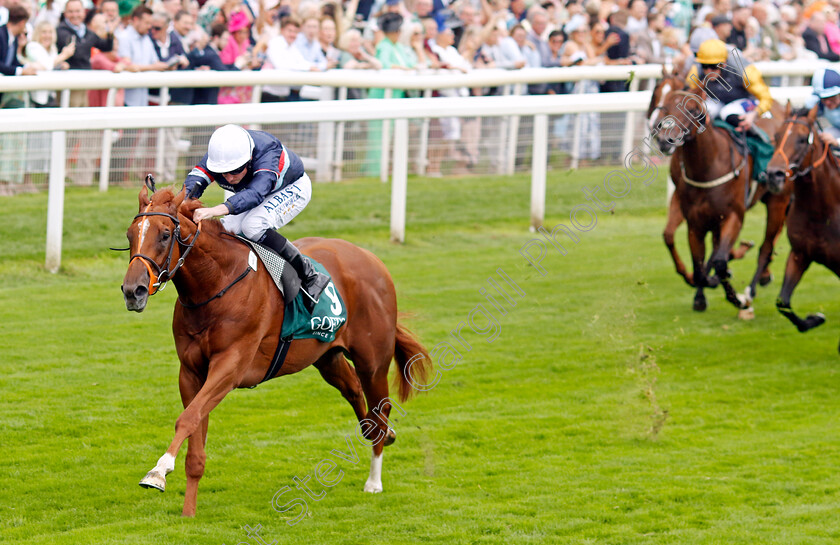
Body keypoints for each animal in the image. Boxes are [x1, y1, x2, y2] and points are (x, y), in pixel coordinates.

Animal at [120, 186, 434, 516]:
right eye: (130, 234)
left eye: (165, 234)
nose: (133, 291)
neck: (216, 284)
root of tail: (372, 259)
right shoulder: (192, 372)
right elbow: (195, 432)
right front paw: (188, 511)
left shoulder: (229, 368)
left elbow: (187, 419)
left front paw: (157, 472)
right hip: (328, 357)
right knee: (354, 391)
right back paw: (385, 437)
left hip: (372, 359)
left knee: (380, 408)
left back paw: (374, 481)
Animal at [652, 87, 792, 312]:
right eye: (664, 107)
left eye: (692, 109)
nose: (666, 140)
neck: (708, 167)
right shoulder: (695, 223)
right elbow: (699, 267)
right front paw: (703, 290)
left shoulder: (733, 217)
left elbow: (718, 261)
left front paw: (736, 297)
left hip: (778, 201)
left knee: (767, 245)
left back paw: (753, 286)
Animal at [768, 102, 840, 348]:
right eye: (776, 136)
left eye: (801, 139)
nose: (774, 174)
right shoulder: (800, 254)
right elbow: (782, 302)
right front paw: (814, 319)